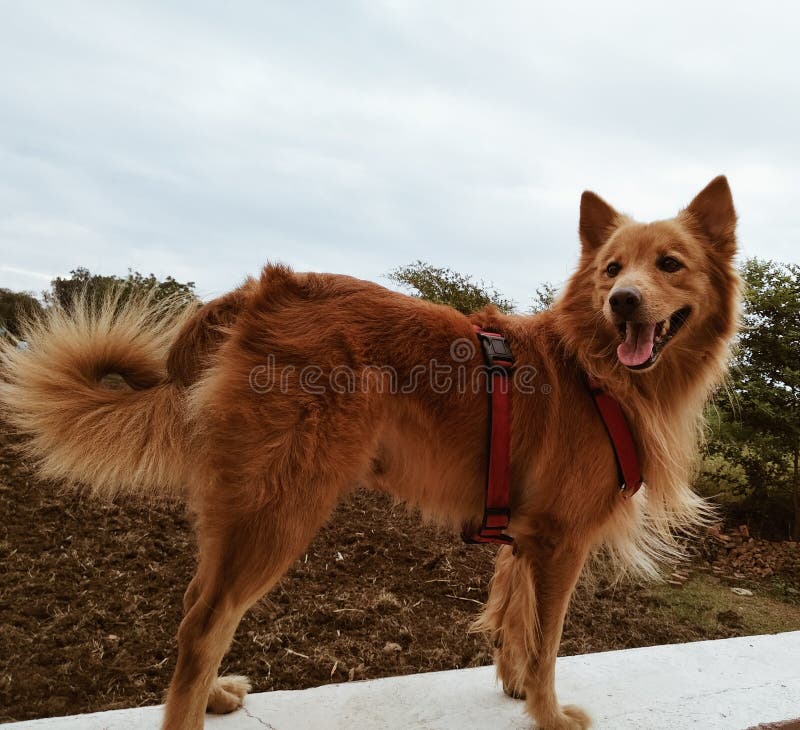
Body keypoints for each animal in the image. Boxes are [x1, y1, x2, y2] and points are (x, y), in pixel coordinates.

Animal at [0, 178, 736, 728]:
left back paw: (214, 695)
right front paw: (549, 714)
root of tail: (264, 291)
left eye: (669, 264)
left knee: (194, 607)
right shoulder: (561, 542)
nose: (623, 301)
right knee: (205, 624)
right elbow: (548, 641)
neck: (593, 368)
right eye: (612, 270)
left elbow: (514, 617)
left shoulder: (524, 535)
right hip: (284, 506)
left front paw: (516, 688)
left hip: (242, 503)